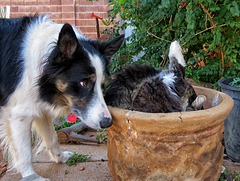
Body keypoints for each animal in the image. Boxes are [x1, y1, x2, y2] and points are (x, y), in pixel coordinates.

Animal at [0, 15, 124, 180]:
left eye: (102, 84)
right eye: (84, 82)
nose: (107, 123)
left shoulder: (38, 106)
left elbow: (52, 137)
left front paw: (61, 158)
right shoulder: (19, 115)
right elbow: (25, 152)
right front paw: (32, 177)